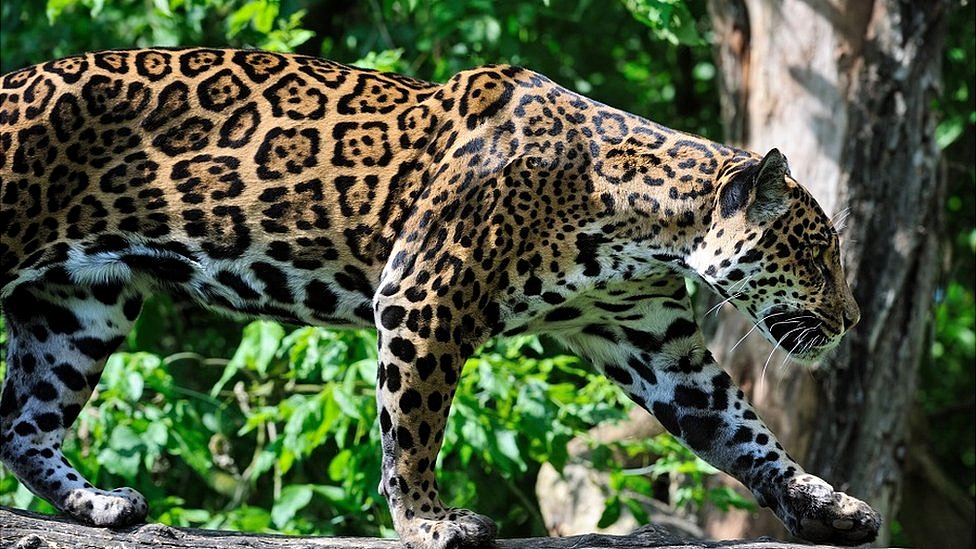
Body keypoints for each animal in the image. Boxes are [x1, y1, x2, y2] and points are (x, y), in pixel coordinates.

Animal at [0, 48, 881, 548]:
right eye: (816, 252)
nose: (851, 319)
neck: (648, 219)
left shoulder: (660, 345)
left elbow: (747, 433)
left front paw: (825, 506)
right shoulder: (426, 296)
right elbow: (413, 429)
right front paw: (428, 521)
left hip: (78, 307)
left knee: (23, 423)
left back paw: (99, 504)